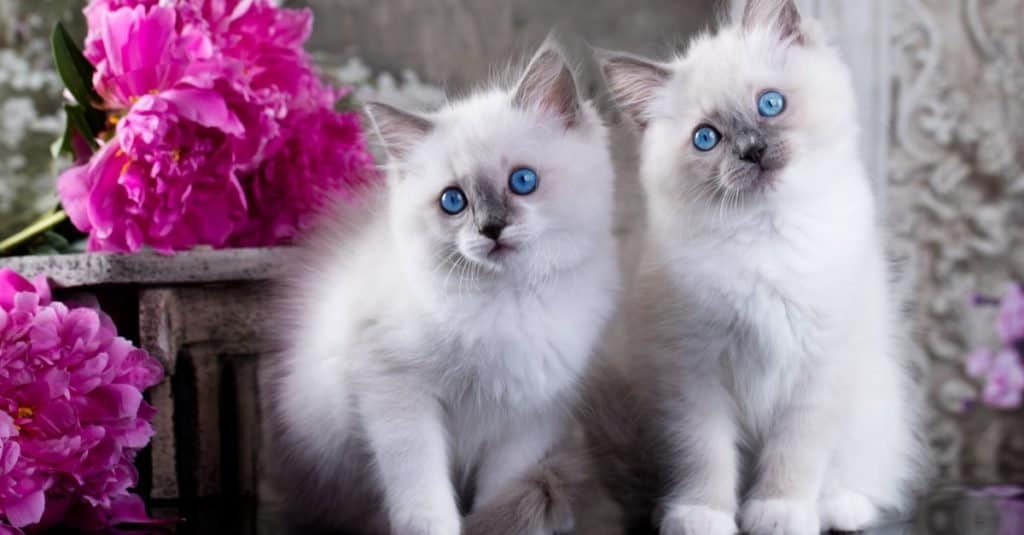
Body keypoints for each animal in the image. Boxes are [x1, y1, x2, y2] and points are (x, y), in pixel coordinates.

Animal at [270, 38, 614, 532]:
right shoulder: (398, 394)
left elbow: (499, 493)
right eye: (454, 201)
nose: (492, 229)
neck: (507, 302)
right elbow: (424, 498)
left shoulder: (530, 418)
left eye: (523, 181)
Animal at [598, 1, 925, 532]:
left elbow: (795, 455)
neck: (766, 237)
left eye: (770, 105)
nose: (752, 150)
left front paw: (779, 512)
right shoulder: (693, 374)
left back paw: (839, 507)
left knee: (861, 474)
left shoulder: (819, 369)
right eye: (706, 138)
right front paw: (703, 515)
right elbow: (704, 455)